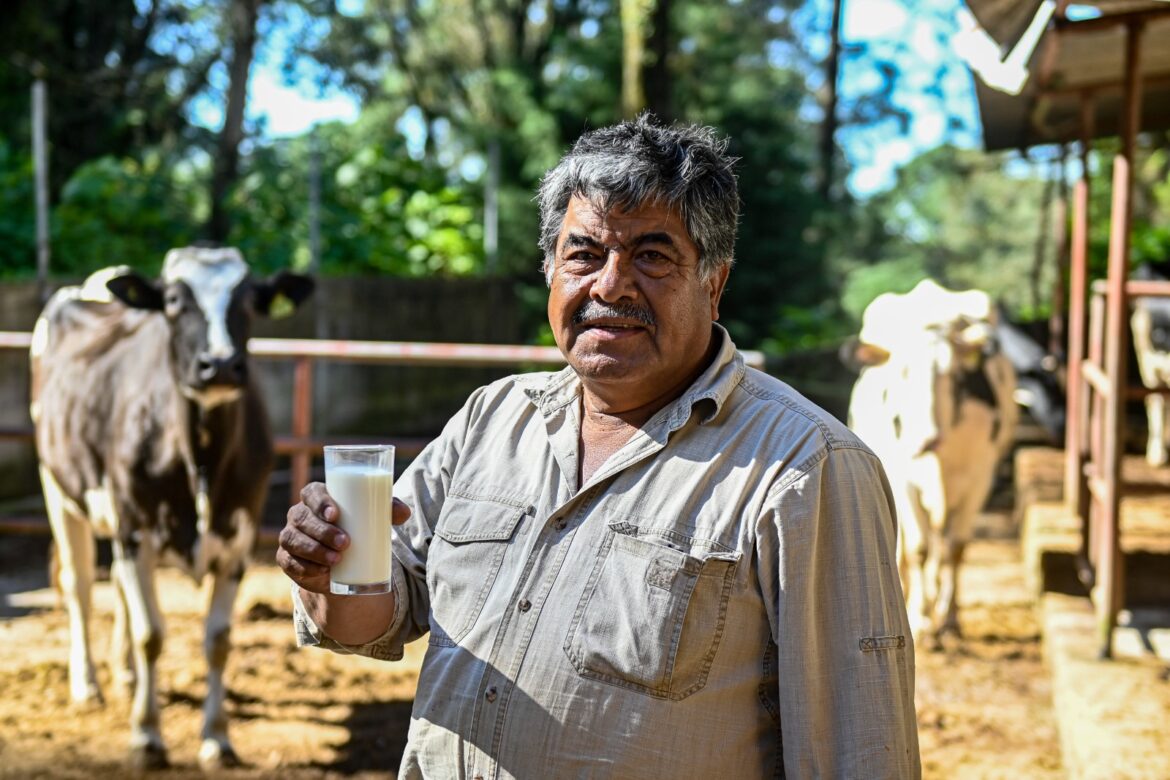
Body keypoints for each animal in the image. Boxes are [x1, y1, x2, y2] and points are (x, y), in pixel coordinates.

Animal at [30, 245, 315, 767]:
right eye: (175, 302)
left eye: (249, 302)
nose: (219, 365)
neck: (199, 452)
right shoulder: (135, 530)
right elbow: (152, 635)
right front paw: (146, 735)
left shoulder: (240, 537)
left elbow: (218, 640)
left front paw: (217, 737)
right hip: (58, 488)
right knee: (80, 586)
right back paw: (88, 684)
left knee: (118, 590)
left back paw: (123, 675)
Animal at [847, 279, 1020, 645]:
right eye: (901, 374)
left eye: (953, 375)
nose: (926, 440)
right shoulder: (903, 481)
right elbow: (919, 549)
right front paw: (923, 620)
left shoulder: (980, 478)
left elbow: (955, 548)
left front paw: (949, 618)